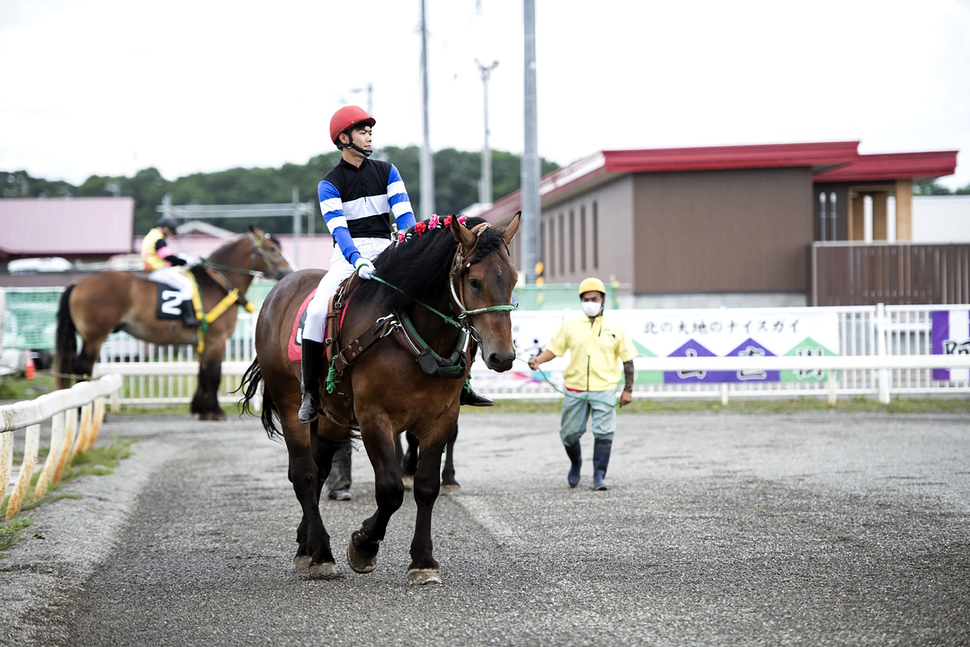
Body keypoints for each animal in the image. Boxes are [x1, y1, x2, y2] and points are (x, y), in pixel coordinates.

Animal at [54, 227, 290, 420]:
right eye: (271, 249)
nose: (286, 272)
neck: (216, 285)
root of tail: (78, 283)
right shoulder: (216, 340)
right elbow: (214, 374)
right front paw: (214, 411)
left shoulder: (201, 341)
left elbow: (202, 372)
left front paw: (200, 409)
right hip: (95, 336)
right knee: (82, 368)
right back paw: (82, 411)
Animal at [238, 214, 520, 588]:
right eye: (474, 282)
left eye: (513, 279)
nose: (503, 356)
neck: (410, 332)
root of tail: (282, 288)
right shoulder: (374, 417)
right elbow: (389, 489)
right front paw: (363, 545)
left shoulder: (442, 417)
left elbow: (426, 487)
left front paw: (423, 560)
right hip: (290, 403)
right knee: (305, 474)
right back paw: (321, 553)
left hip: (331, 417)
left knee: (320, 467)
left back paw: (305, 544)